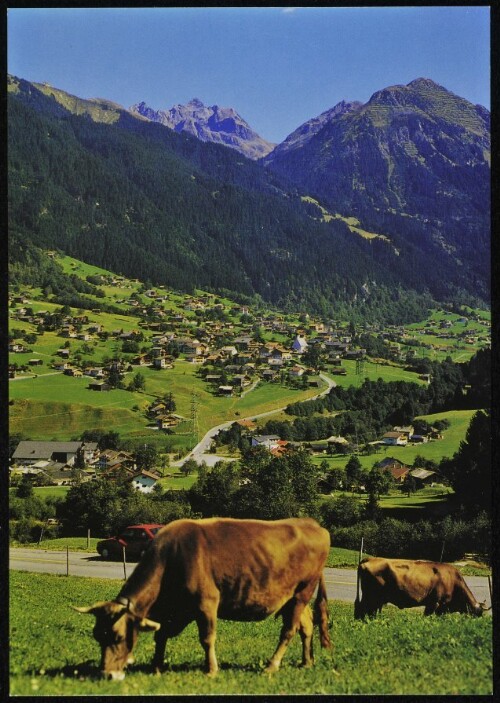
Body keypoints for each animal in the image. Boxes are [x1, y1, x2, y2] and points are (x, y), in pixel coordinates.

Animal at [73, 520, 332, 680]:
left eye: (118, 636)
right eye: (97, 636)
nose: (107, 674)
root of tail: (314, 525)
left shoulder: (206, 602)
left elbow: (207, 638)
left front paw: (211, 670)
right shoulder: (173, 611)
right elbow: (161, 635)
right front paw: (156, 667)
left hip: (302, 592)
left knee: (289, 630)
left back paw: (271, 665)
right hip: (294, 596)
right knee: (306, 627)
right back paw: (307, 662)